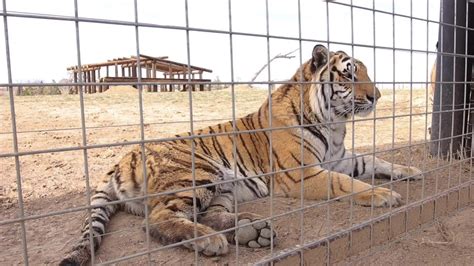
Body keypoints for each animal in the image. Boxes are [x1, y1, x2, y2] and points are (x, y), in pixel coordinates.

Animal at [60, 44, 422, 264]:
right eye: (348, 74)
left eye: (364, 72)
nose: (377, 96)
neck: (334, 124)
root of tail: (121, 160)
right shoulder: (301, 174)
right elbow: (345, 184)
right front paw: (384, 195)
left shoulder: (340, 158)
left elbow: (376, 160)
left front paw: (410, 171)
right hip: (197, 171)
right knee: (157, 219)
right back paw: (209, 241)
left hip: (223, 188)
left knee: (208, 214)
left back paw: (252, 230)